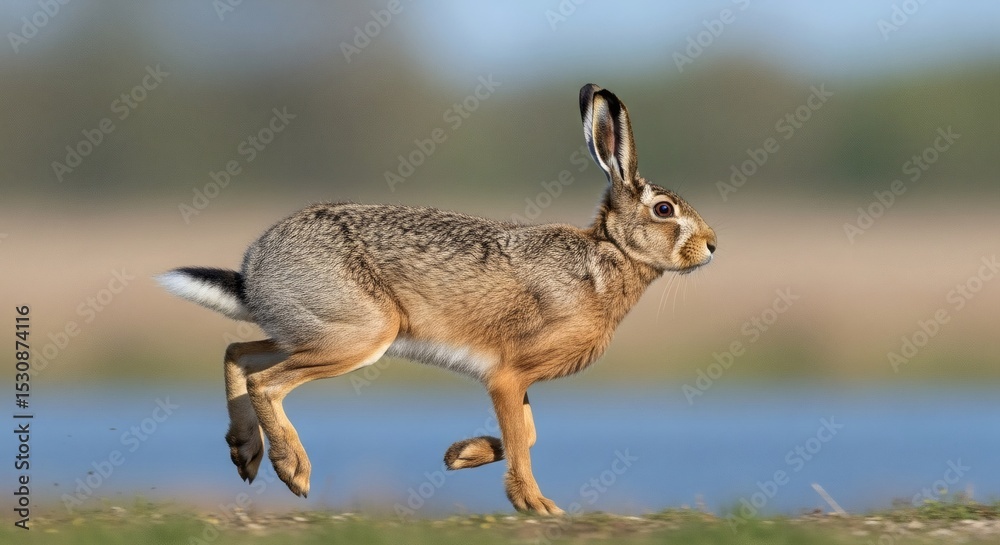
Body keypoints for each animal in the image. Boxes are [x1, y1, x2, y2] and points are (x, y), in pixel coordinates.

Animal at [157, 83, 717, 515]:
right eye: (664, 210)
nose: (712, 246)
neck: (609, 257)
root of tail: (254, 269)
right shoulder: (509, 374)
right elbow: (523, 441)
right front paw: (536, 505)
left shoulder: (516, 380)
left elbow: (526, 434)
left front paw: (459, 455)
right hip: (359, 334)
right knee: (266, 381)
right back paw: (293, 469)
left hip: (316, 330)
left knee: (238, 353)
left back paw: (245, 451)